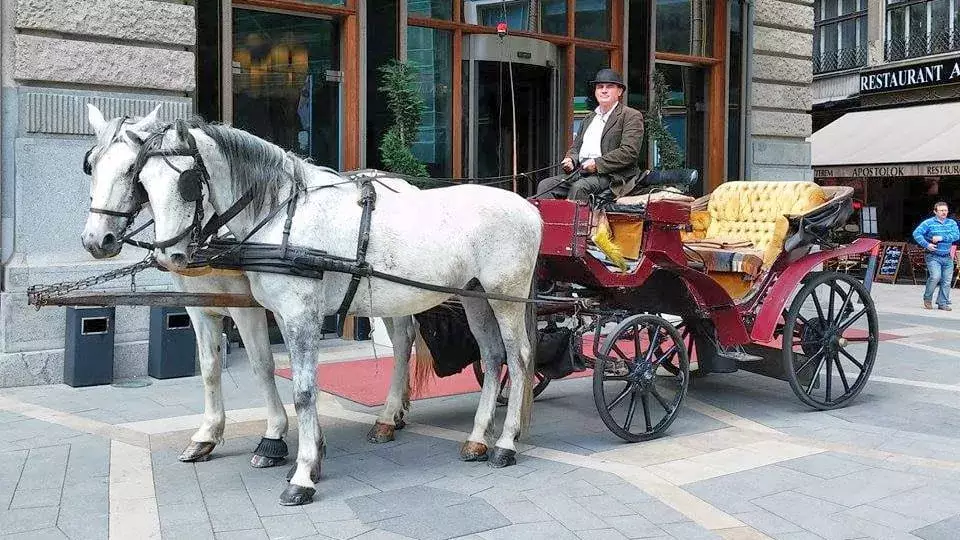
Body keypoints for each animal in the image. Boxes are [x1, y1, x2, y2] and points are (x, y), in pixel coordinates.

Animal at [82, 106, 420, 468]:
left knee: (403, 343)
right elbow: (210, 366)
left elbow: (262, 364)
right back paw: (396, 412)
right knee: (401, 340)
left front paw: (274, 437)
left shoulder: (248, 306)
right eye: (92, 164)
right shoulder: (198, 304)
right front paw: (207, 435)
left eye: (131, 170)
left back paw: (387, 416)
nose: (96, 240)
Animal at [113, 116, 540, 504]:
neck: (283, 215)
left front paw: (302, 476)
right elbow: (293, 381)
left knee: (518, 358)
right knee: (492, 356)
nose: (169, 256)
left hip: (506, 294)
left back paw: (505, 444)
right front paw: (308, 457)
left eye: (186, 183)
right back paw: (477, 439)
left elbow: (303, 391)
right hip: (473, 294)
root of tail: (528, 207)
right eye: (143, 183)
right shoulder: (283, 315)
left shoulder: (301, 315)